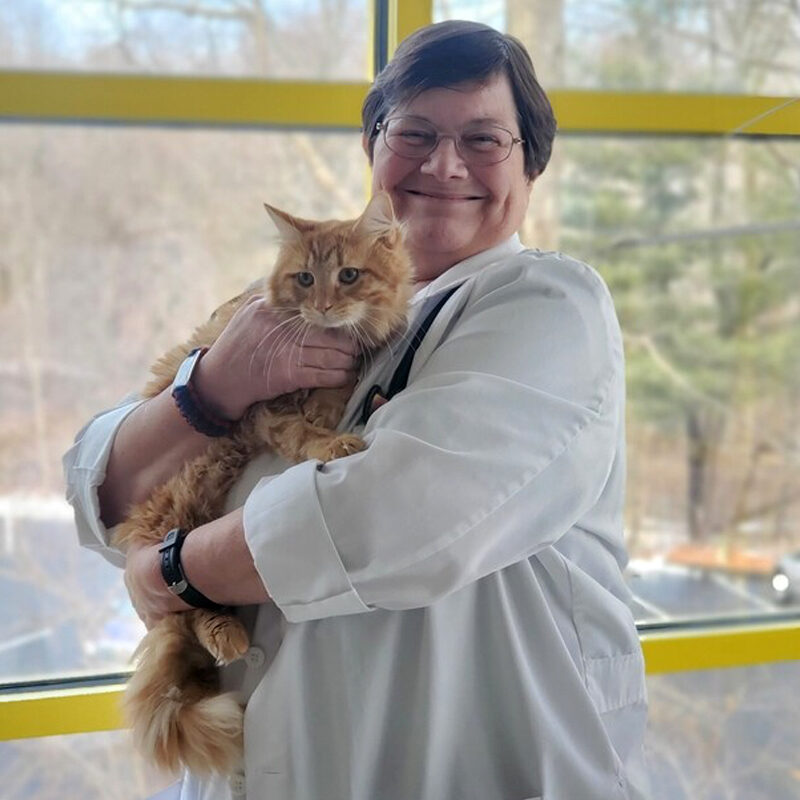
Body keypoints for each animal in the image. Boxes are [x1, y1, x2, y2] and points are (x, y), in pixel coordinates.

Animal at [112, 192, 412, 776]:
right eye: (304, 278)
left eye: (348, 275)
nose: (322, 307)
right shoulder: (263, 410)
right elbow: (302, 433)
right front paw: (329, 441)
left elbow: (329, 398)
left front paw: (329, 410)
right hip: (187, 500)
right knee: (185, 594)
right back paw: (227, 637)